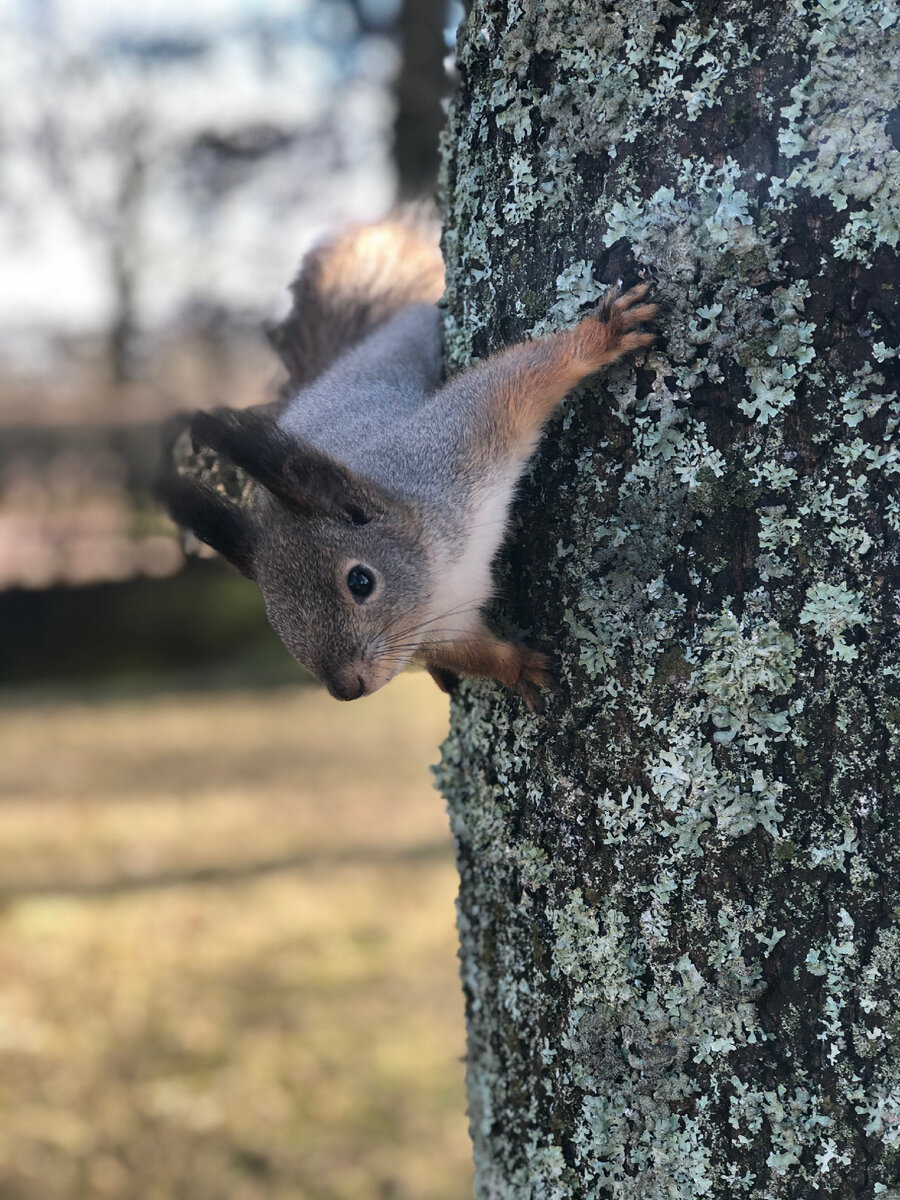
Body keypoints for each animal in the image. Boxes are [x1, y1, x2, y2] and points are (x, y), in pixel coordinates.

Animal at [160, 219, 657, 705]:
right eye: (271, 610)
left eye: (361, 581)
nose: (346, 689)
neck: (438, 575)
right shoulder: (441, 625)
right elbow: (473, 652)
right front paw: (517, 668)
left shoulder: (458, 446)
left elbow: (518, 380)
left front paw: (598, 337)